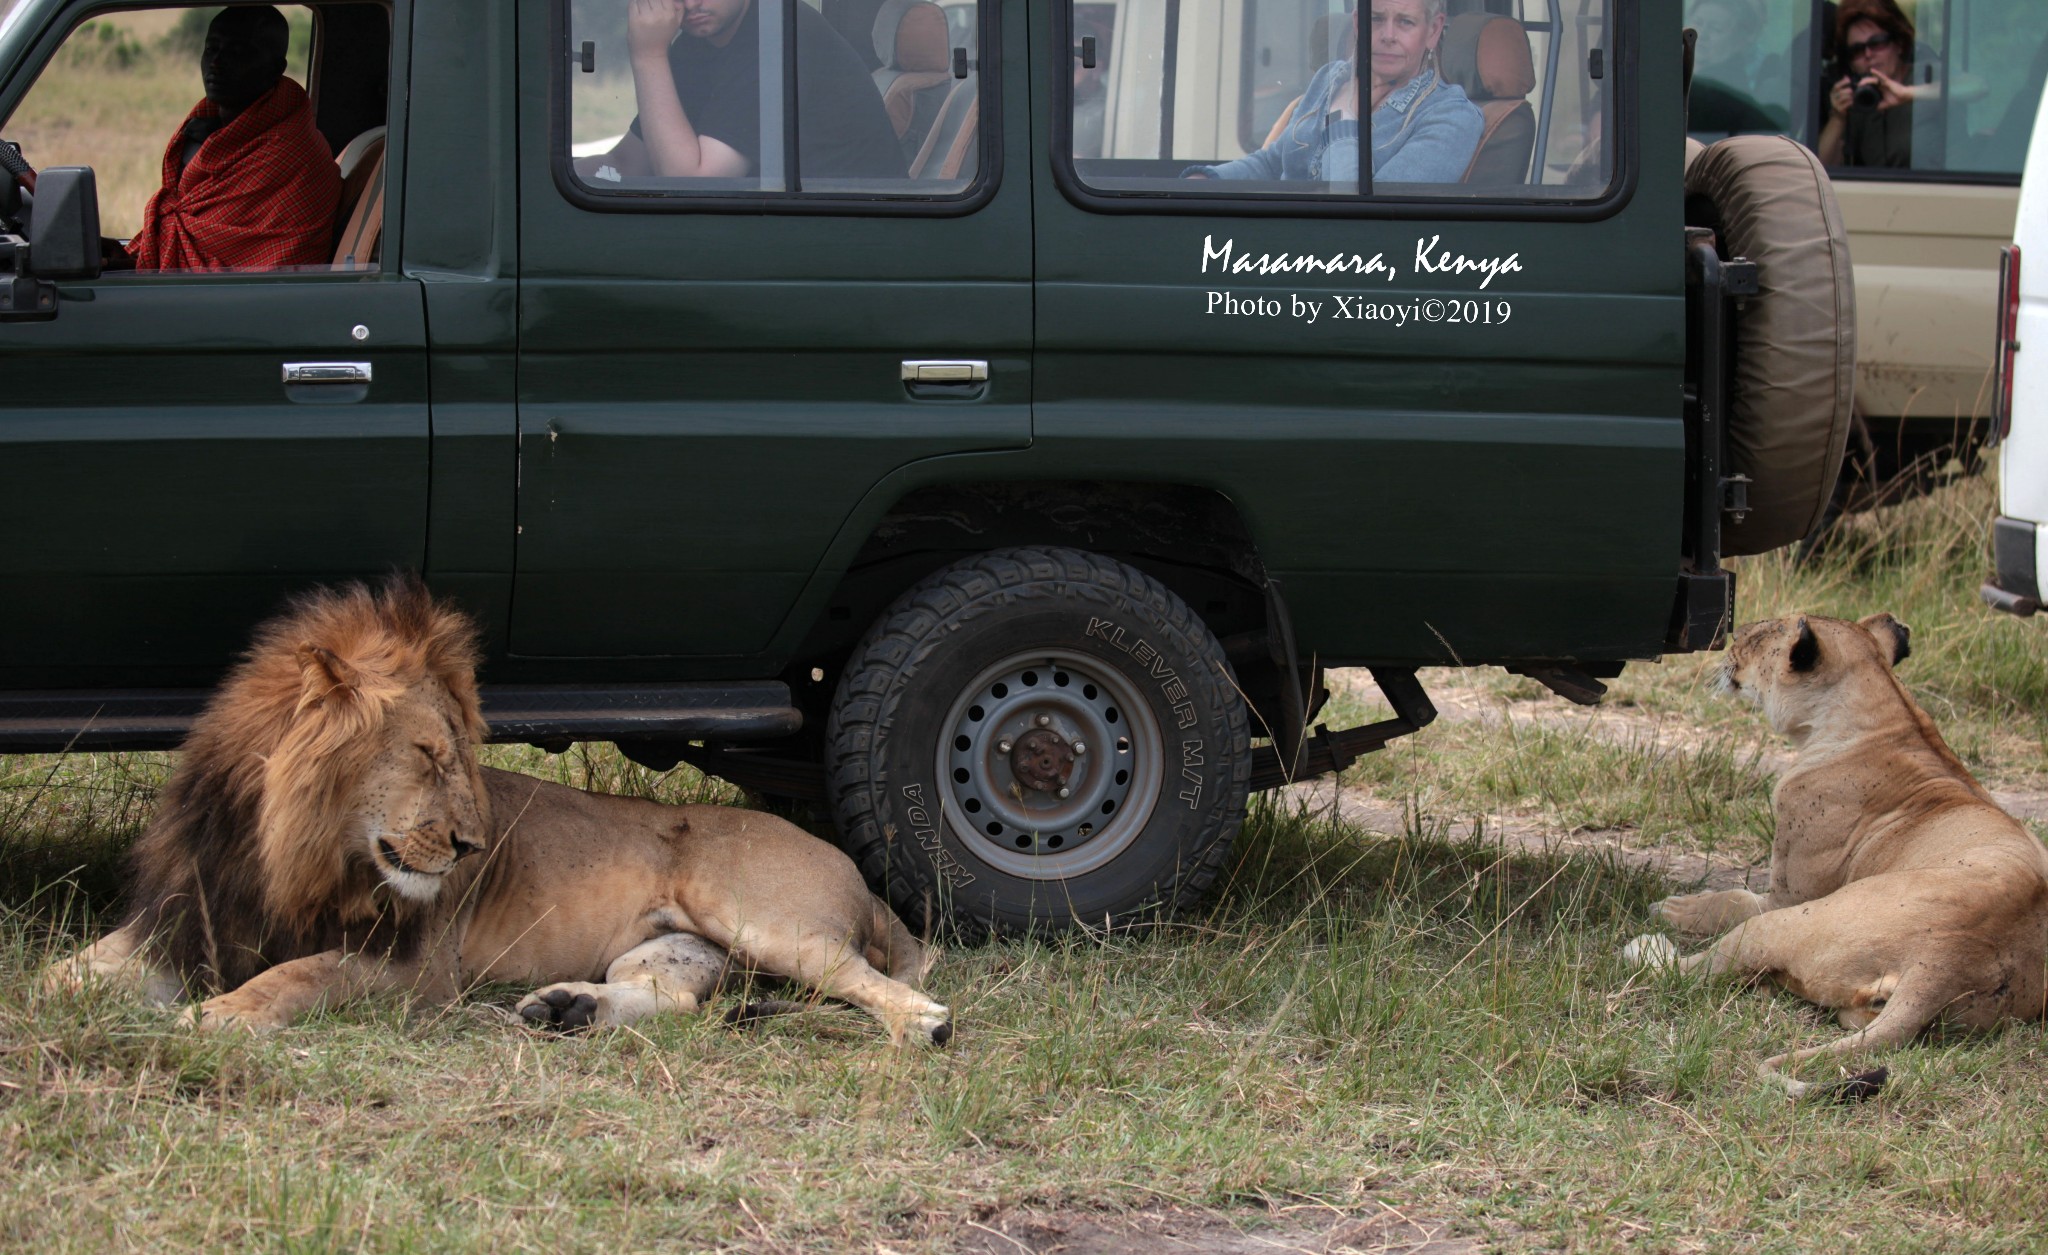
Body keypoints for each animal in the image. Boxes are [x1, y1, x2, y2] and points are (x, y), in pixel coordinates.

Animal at [39, 577, 950, 1048]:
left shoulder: (412, 969)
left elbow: (296, 973)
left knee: (898, 995)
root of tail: (860, 878)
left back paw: (917, 1033)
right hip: (680, 947)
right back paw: (568, 1008)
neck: (287, 849)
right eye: (427, 754)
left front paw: (221, 1011)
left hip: (766, 922)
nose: (471, 844)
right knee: (680, 999)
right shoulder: (182, 919)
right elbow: (68, 972)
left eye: (458, 756)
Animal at [1622, 614, 2039, 1097]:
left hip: (1786, 923)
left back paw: (1646, 947)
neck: (1888, 717)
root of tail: (1947, 959)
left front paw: (1677, 907)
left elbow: (1732, 898)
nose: (1731, 637)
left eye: (1758, 635)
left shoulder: (1786, 897)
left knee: (1689, 972)